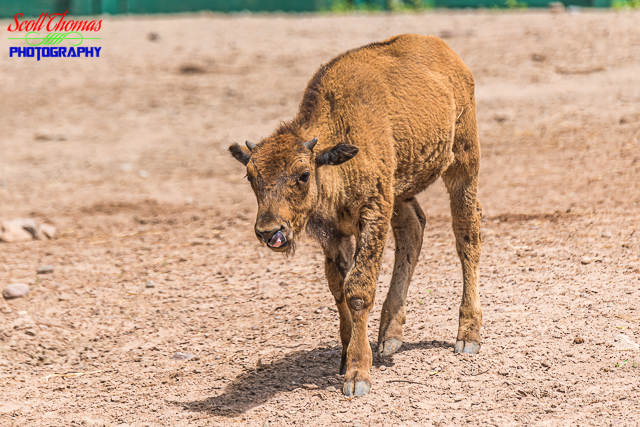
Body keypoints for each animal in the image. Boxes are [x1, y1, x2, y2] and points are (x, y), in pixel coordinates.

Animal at [229, 34, 482, 397]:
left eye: (303, 174)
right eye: (250, 175)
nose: (268, 230)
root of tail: (446, 52)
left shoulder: (373, 215)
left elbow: (358, 290)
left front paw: (357, 375)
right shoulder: (334, 234)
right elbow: (338, 290)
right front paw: (346, 359)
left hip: (463, 163)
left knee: (467, 236)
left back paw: (468, 336)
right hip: (400, 187)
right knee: (413, 229)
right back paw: (390, 336)